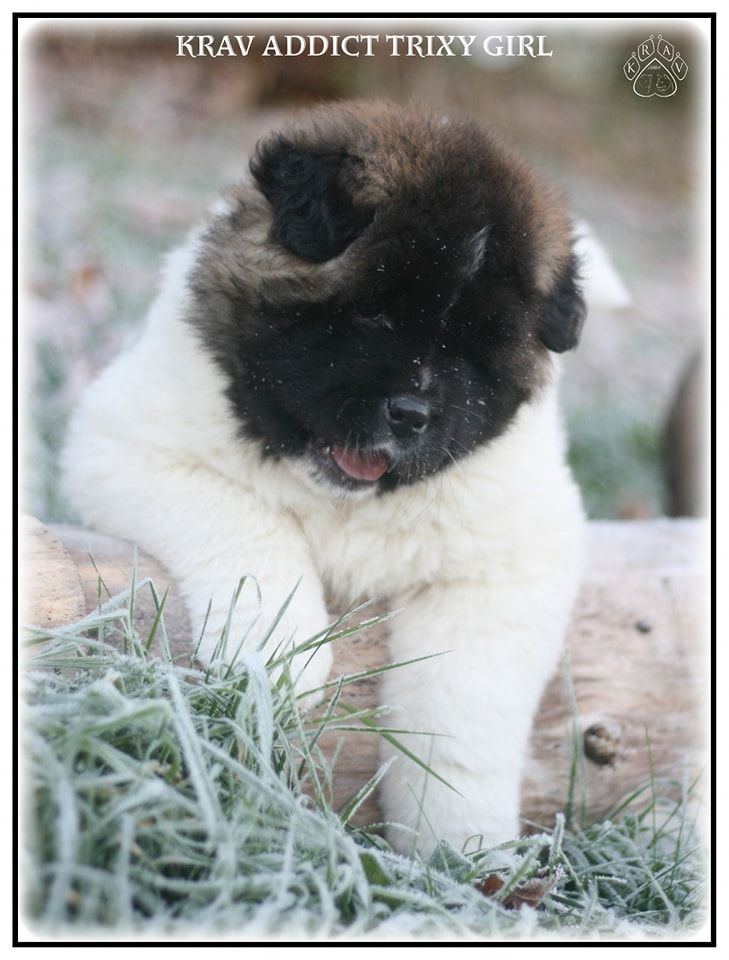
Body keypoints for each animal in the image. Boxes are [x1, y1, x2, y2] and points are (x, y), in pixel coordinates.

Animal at [62, 101, 585, 857]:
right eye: (371, 312)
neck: (345, 502)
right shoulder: (124, 443)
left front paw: (461, 846)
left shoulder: (518, 556)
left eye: (472, 348)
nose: (412, 414)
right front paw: (279, 653)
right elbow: (243, 520)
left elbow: (463, 702)